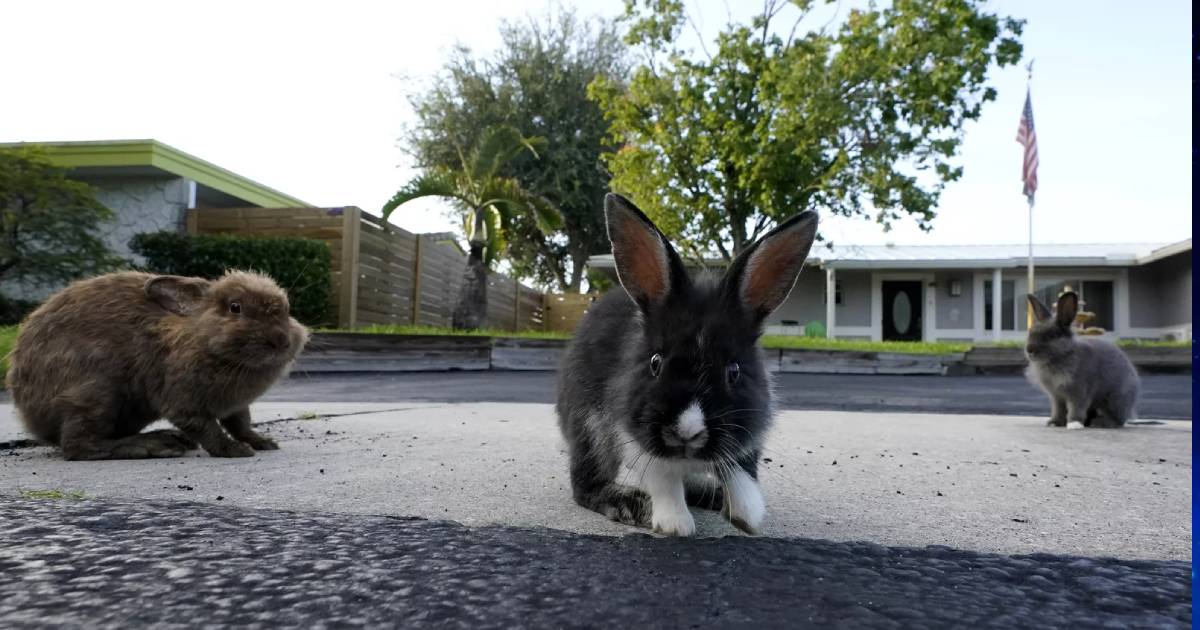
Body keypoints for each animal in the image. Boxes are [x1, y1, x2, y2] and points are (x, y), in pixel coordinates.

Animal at [7, 268, 307, 456]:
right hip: (96, 393)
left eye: (287, 310)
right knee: (77, 446)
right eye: (236, 307)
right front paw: (234, 451)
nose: (280, 341)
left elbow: (241, 424)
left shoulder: (236, 405)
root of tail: (30, 415)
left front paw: (264, 442)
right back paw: (155, 446)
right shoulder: (182, 402)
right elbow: (208, 428)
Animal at [556, 193, 820, 535]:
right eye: (655, 362)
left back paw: (710, 494)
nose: (687, 432)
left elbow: (741, 473)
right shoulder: (631, 433)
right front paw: (675, 524)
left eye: (733, 372)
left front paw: (746, 515)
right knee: (586, 485)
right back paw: (629, 502)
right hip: (589, 430)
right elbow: (663, 478)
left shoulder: (748, 435)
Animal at [1027, 292, 1137, 429]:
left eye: (1052, 335)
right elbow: (1058, 410)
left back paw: (1100, 423)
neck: (1059, 357)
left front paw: (1074, 424)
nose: (1029, 350)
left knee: (1118, 420)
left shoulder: (1079, 393)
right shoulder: (1057, 397)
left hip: (1115, 400)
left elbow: (1076, 409)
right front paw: (1054, 423)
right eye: (1030, 332)